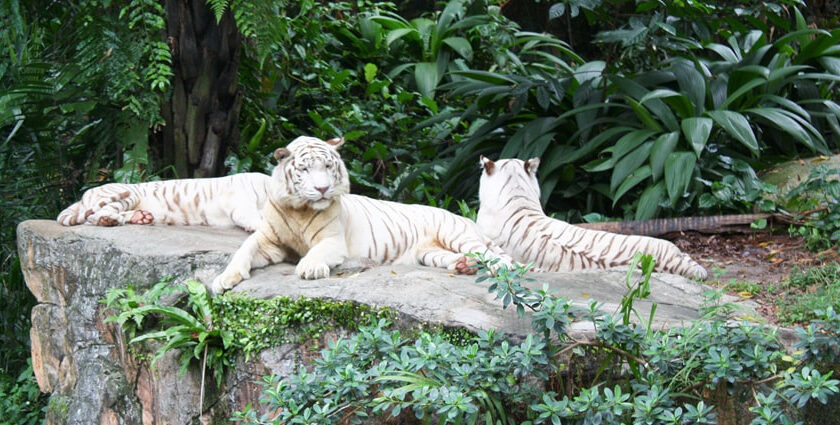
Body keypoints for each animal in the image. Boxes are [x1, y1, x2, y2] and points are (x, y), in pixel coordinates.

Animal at [55, 172, 272, 232]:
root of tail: (84, 195)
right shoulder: (240, 203)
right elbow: (254, 218)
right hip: (127, 193)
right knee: (93, 216)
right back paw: (109, 220)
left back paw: (141, 217)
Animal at [210, 135, 512, 292]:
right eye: (305, 169)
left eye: (328, 166)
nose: (322, 188)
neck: (301, 209)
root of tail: (465, 219)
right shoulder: (269, 240)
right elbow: (243, 251)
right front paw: (223, 279)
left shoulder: (332, 240)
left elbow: (317, 252)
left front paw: (310, 268)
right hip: (430, 252)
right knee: (456, 257)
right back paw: (463, 266)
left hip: (457, 234)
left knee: (501, 258)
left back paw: (502, 268)